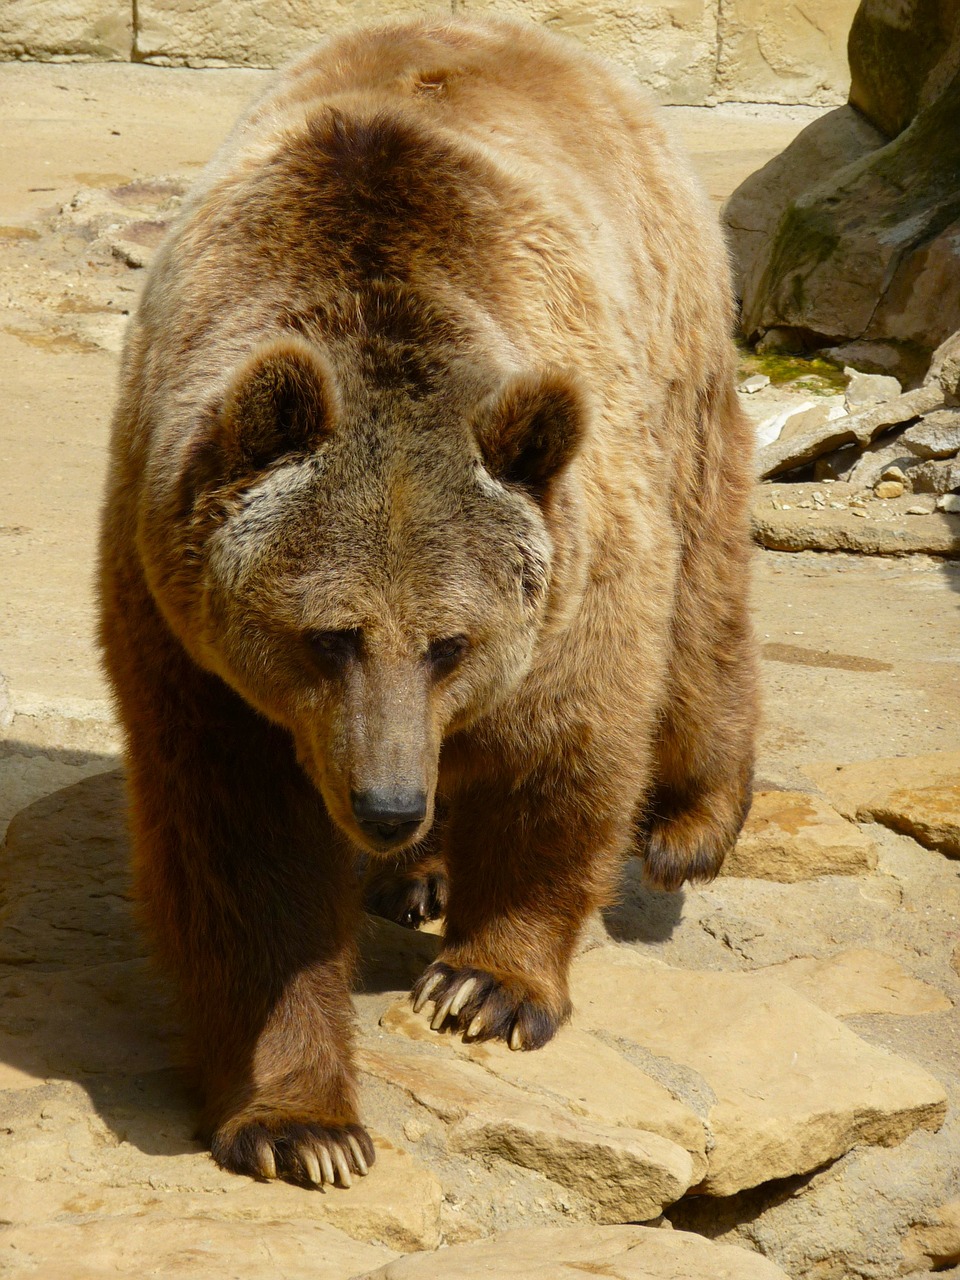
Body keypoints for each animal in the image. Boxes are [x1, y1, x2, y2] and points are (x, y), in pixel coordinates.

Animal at [97, 17, 757, 1187]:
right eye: (327, 636)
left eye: (453, 640)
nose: (388, 804)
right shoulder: (185, 630)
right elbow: (242, 850)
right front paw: (300, 1123)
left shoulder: (572, 572)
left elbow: (564, 751)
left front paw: (485, 985)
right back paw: (419, 872)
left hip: (675, 351)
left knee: (703, 589)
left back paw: (691, 820)